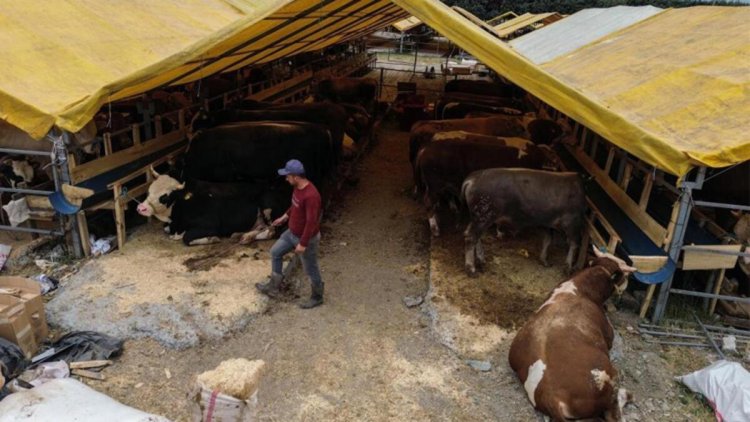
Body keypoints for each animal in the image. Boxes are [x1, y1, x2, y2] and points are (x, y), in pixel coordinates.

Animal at [137, 168, 278, 246]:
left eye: (165, 197)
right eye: (148, 191)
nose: (141, 208)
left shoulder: (211, 225)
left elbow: (186, 237)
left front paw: (212, 238)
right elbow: (167, 229)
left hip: (268, 211)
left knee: (272, 231)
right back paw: (241, 235)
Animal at [462, 168, 592, 274]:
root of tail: (472, 178)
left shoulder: (547, 223)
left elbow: (548, 240)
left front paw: (544, 260)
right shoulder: (572, 222)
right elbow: (574, 243)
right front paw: (568, 267)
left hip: (478, 217)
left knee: (475, 236)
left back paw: (481, 260)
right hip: (483, 215)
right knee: (470, 236)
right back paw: (471, 268)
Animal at [508, 247, 636, 422]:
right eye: (625, 275)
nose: (627, 284)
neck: (580, 288)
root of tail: (551, 397)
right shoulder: (609, 334)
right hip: (606, 380)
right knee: (613, 411)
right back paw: (627, 395)